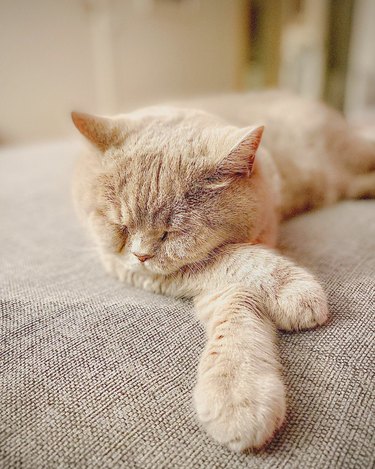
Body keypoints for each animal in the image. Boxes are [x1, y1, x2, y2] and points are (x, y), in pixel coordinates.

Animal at [71, 89, 375, 452]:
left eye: (171, 233)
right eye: (122, 227)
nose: (142, 254)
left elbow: (237, 270)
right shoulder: (140, 270)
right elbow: (234, 272)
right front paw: (238, 392)